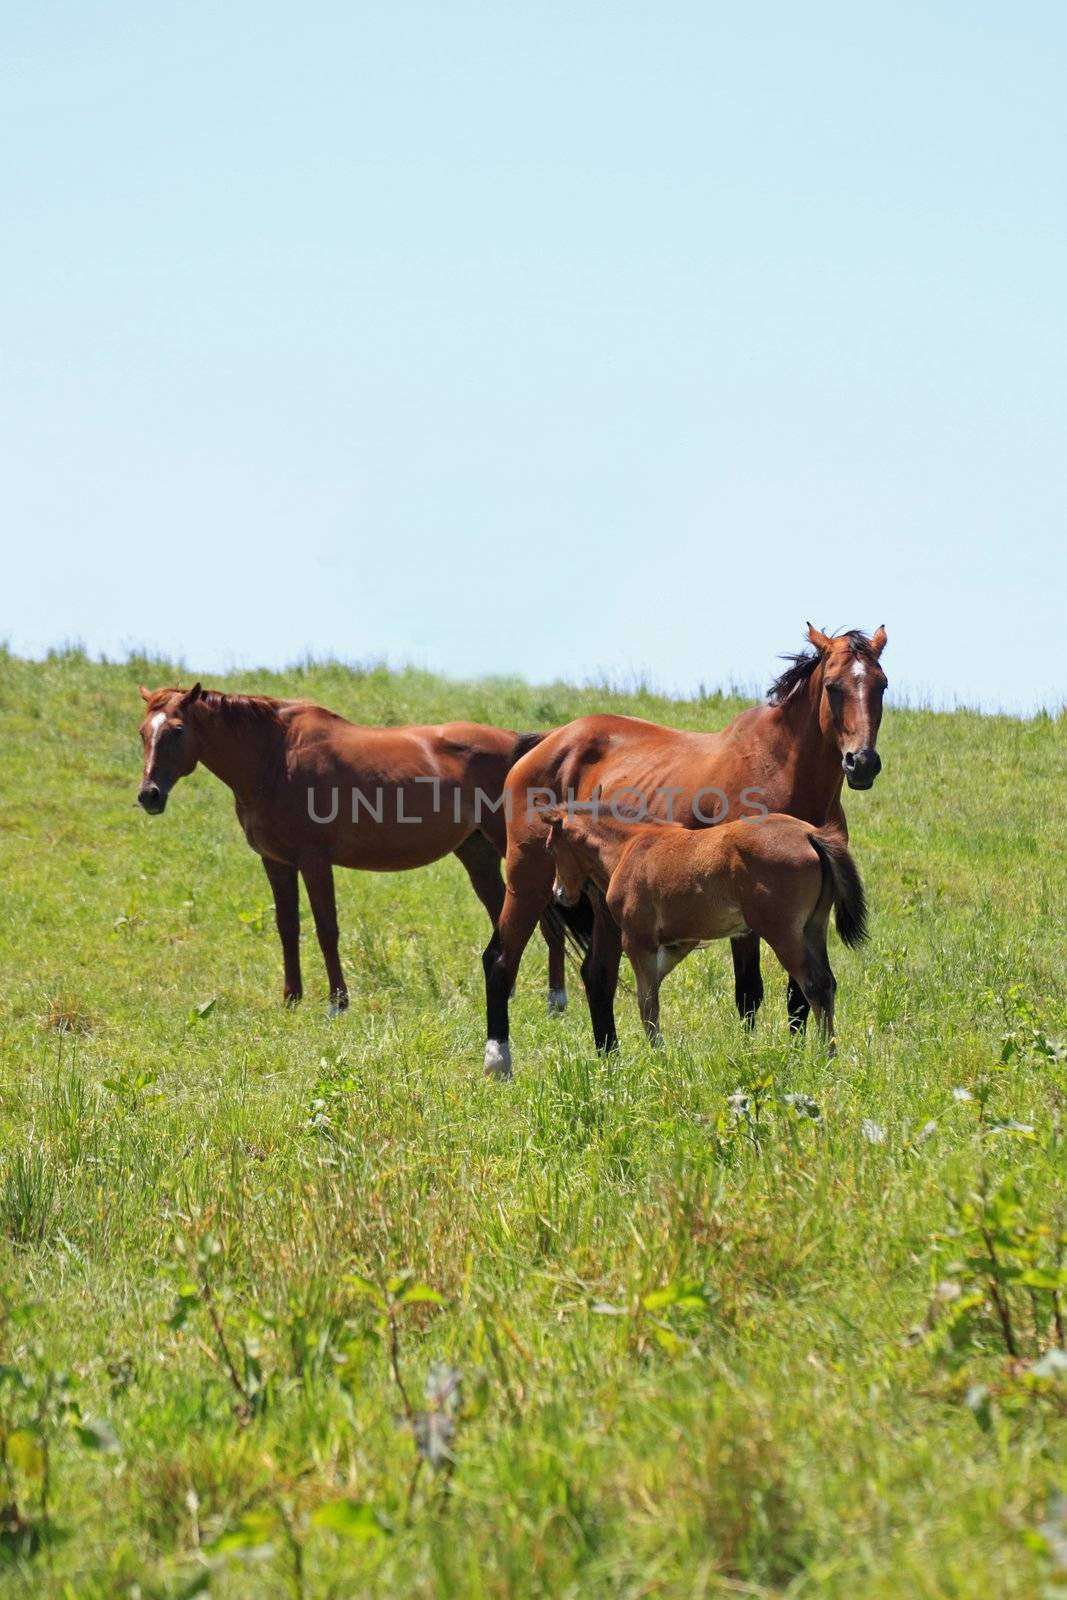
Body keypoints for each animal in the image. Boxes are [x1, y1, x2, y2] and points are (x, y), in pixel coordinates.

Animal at [137, 684, 579, 1011]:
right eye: (143, 732)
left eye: (176, 730)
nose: (149, 795)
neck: (275, 758)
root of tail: (531, 750)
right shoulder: (276, 862)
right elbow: (287, 926)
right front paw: (291, 1000)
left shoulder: (314, 862)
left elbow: (326, 928)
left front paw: (338, 1001)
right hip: (477, 852)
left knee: (545, 917)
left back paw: (555, 999)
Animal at [543, 806, 870, 1056]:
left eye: (550, 848)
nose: (559, 894)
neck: (629, 848)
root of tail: (808, 834)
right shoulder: (681, 942)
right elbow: (653, 990)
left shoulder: (637, 941)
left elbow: (647, 1003)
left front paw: (658, 1055)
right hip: (813, 928)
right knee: (828, 983)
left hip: (783, 934)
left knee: (815, 984)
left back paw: (826, 1054)